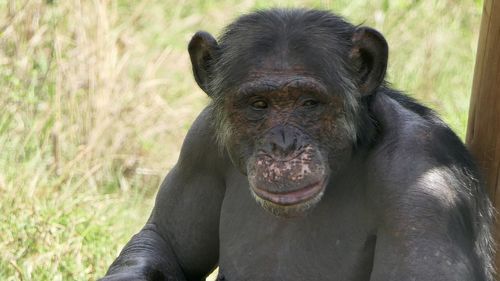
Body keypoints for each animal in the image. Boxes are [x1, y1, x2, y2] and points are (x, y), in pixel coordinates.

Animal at [99, 7, 494, 278]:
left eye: (309, 103)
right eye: (259, 104)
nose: (283, 144)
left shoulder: (423, 182)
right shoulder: (199, 148)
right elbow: (167, 244)